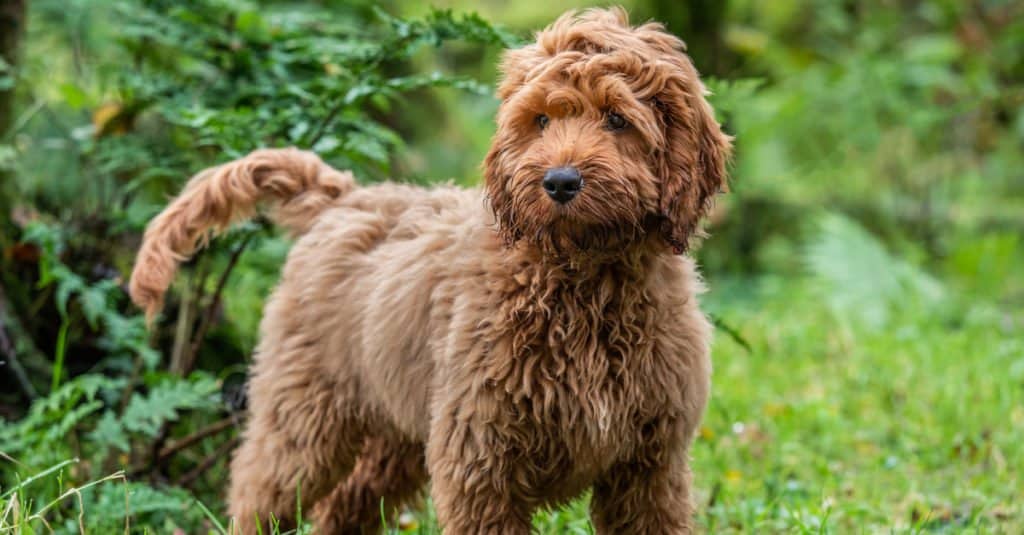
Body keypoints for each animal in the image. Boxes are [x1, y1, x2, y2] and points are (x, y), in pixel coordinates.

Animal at [132, 6, 733, 528]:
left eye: (616, 119)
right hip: (304, 416)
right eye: (540, 120)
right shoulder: (480, 457)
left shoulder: (649, 468)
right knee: (259, 492)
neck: (582, 280)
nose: (560, 182)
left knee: (343, 508)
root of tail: (344, 196)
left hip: (396, 432)